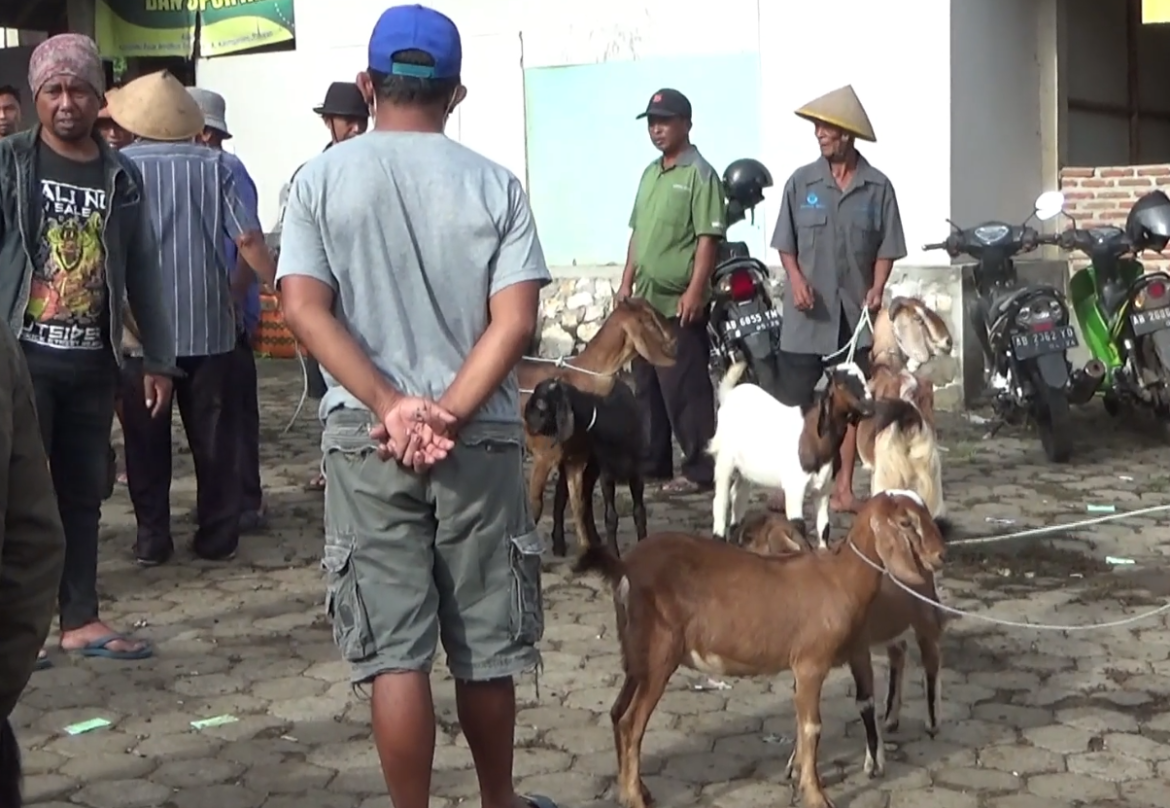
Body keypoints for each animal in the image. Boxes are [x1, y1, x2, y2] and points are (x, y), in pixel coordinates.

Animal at [524, 378, 645, 556]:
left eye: (541, 403)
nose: (525, 416)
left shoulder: (637, 473)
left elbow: (639, 512)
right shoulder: (606, 474)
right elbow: (611, 517)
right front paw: (614, 553)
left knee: (574, 496)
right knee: (568, 497)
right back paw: (562, 543)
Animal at [706, 362, 875, 547]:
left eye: (865, 377)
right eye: (842, 383)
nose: (870, 407)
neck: (814, 437)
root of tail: (729, 394)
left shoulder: (824, 488)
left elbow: (824, 527)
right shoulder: (795, 486)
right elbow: (797, 525)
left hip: (746, 468)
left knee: (738, 495)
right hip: (724, 459)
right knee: (720, 498)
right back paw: (719, 537)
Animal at [744, 509, 945, 743]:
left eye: (750, 538)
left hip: (924, 616)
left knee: (931, 659)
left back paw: (932, 722)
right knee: (898, 654)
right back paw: (891, 718)